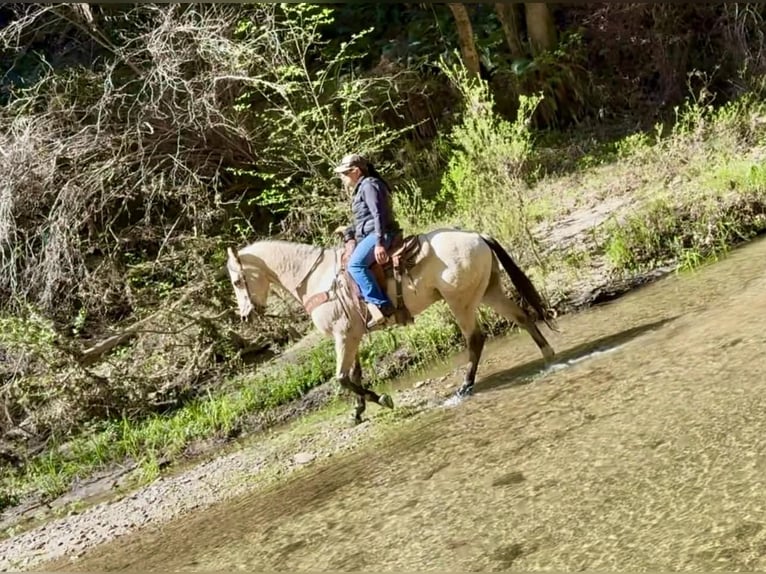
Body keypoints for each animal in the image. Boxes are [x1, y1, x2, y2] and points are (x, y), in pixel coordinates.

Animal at [226, 227, 557, 425]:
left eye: (238, 280)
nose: (245, 315)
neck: (316, 279)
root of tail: (477, 235)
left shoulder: (342, 335)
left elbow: (341, 378)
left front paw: (382, 400)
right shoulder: (352, 334)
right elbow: (353, 375)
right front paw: (358, 411)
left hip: (460, 302)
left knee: (475, 339)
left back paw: (465, 387)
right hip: (489, 290)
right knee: (523, 317)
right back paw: (549, 357)